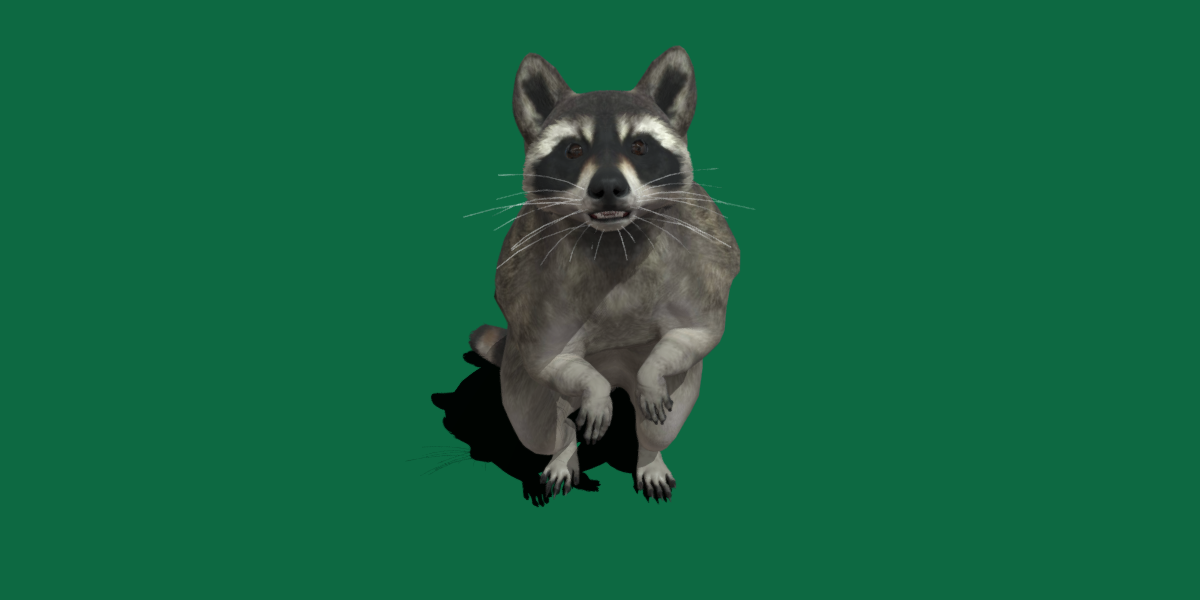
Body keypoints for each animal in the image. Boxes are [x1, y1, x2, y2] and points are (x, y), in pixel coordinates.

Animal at [469, 47, 739, 502]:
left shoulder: (701, 257)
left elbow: (698, 333)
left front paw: (653, 374)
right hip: (518, 380)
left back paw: (649, 454)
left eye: (640, 145)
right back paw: (564, 451)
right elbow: (547, 358)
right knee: (538, 425)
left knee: (662, 422)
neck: (614, 239)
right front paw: (592, 394)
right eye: (573, 149)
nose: (609, 186)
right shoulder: (531, 283)